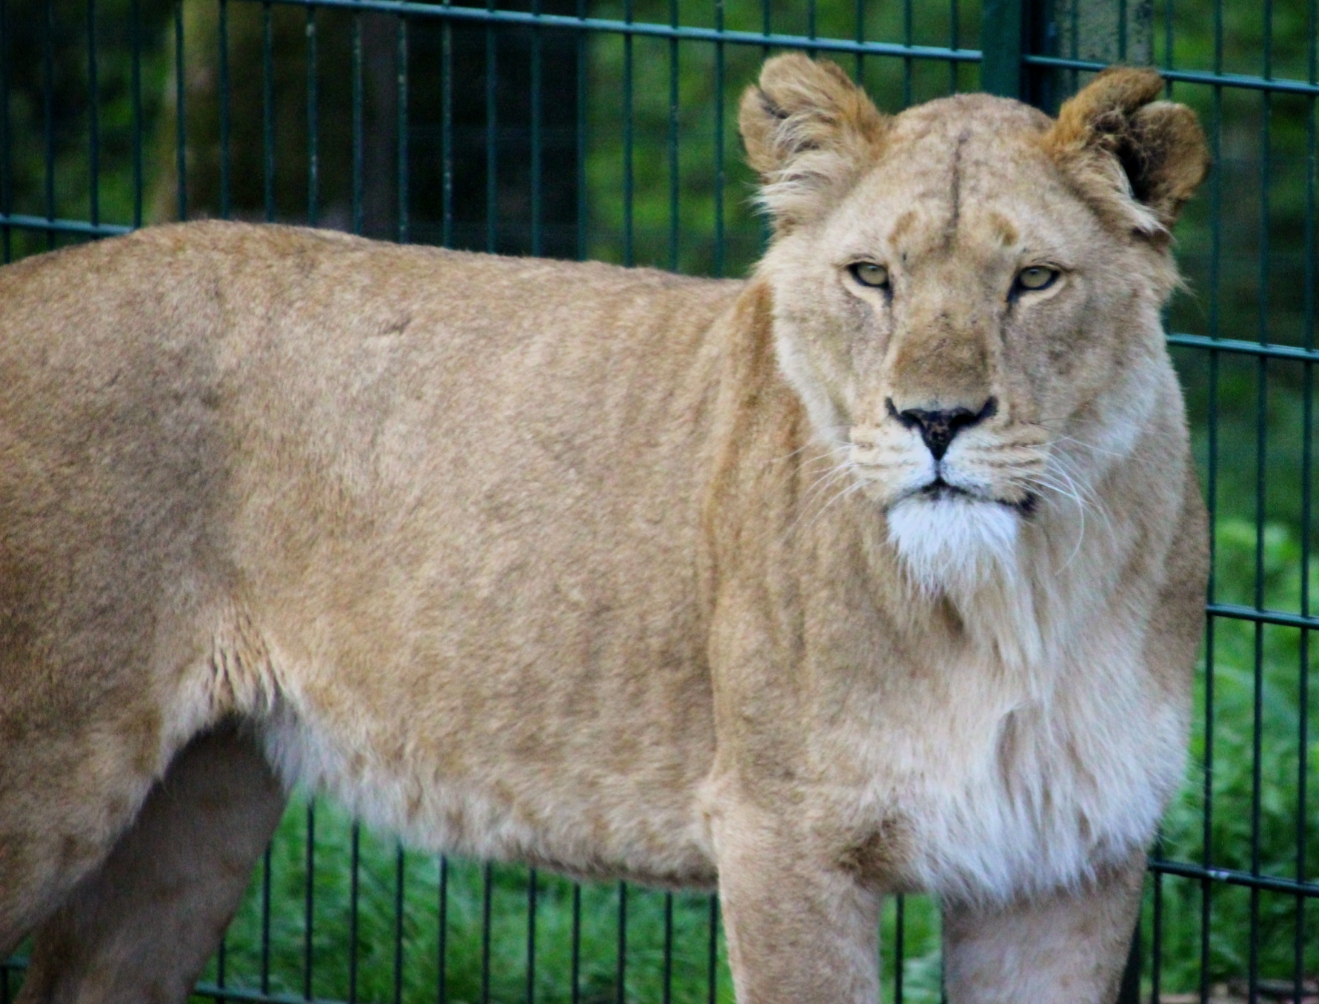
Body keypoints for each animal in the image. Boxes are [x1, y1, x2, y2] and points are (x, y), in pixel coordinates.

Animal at [0, 56, 1208, 1003]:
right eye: (871, 275)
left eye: (1034, 279)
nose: (935, 420)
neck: (1015, 596)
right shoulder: (783, 836)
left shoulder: (1066, 866)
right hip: (50, 764)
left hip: (201, 801)